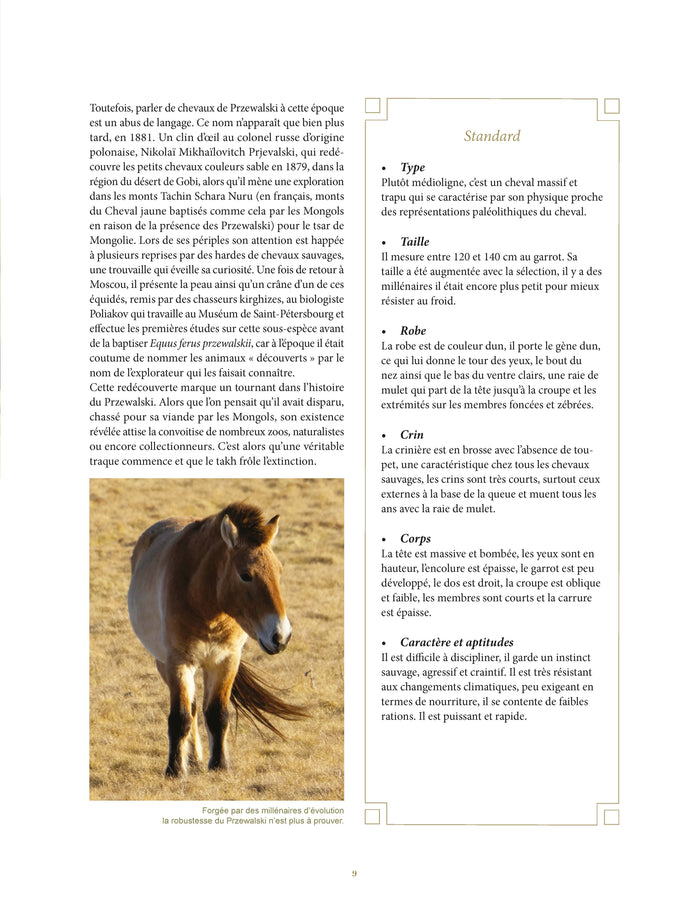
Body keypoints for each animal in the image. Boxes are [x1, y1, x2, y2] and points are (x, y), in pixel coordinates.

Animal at [127, 501, 305, 778]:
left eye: (279, 571)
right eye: (245, 575)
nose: (281, 636)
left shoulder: (226, 661)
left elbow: (217, 714)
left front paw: (219, 764)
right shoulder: (178, 663)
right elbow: (180, 717)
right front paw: (174, 770)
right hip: (164, 664)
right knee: (190, 709)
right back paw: (190, 759)